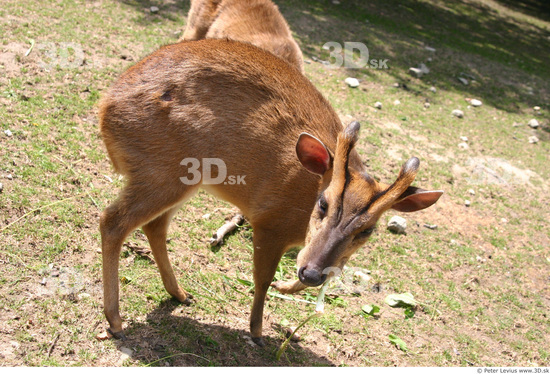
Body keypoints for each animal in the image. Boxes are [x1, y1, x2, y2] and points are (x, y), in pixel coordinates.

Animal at [99, 39, 444, 346]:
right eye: (323, 204)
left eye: (368, 230)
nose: (311, 273)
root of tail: (104, 108)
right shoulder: (269, 222)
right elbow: (261, 279)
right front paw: (256, 331)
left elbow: (329, 272)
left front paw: (286, 287)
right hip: (162, 171)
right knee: (112, 220)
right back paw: (116, 321)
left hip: (177, 181)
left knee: (153, 225)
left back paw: (180, 294)